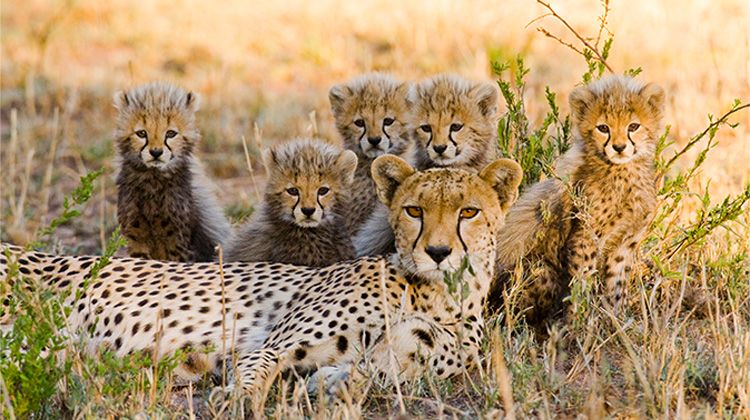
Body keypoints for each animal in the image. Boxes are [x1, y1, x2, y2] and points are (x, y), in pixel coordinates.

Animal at [0, 155, 522, 409]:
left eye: (468, 212)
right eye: (414, 210)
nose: (438, 252)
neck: (442, 295)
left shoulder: (401, 358)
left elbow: (365, 373)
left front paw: (330, 387)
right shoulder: (266, 348)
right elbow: (256, 376)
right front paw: (233, 398)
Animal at [114, 81, 230, 262]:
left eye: (170, 133)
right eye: (141, 133)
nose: (156, 152)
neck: (153, 179)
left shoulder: (177, 242)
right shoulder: (136, 237)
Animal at [488, 75, 665, 323]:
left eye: (633, 126)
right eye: (603, 128)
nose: (619, 147)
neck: (622, 172)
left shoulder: (625, 243)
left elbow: (616, 284)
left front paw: (616, 321)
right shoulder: (585, 238)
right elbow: (582, 281)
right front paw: (577, 323)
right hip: (539, 269)